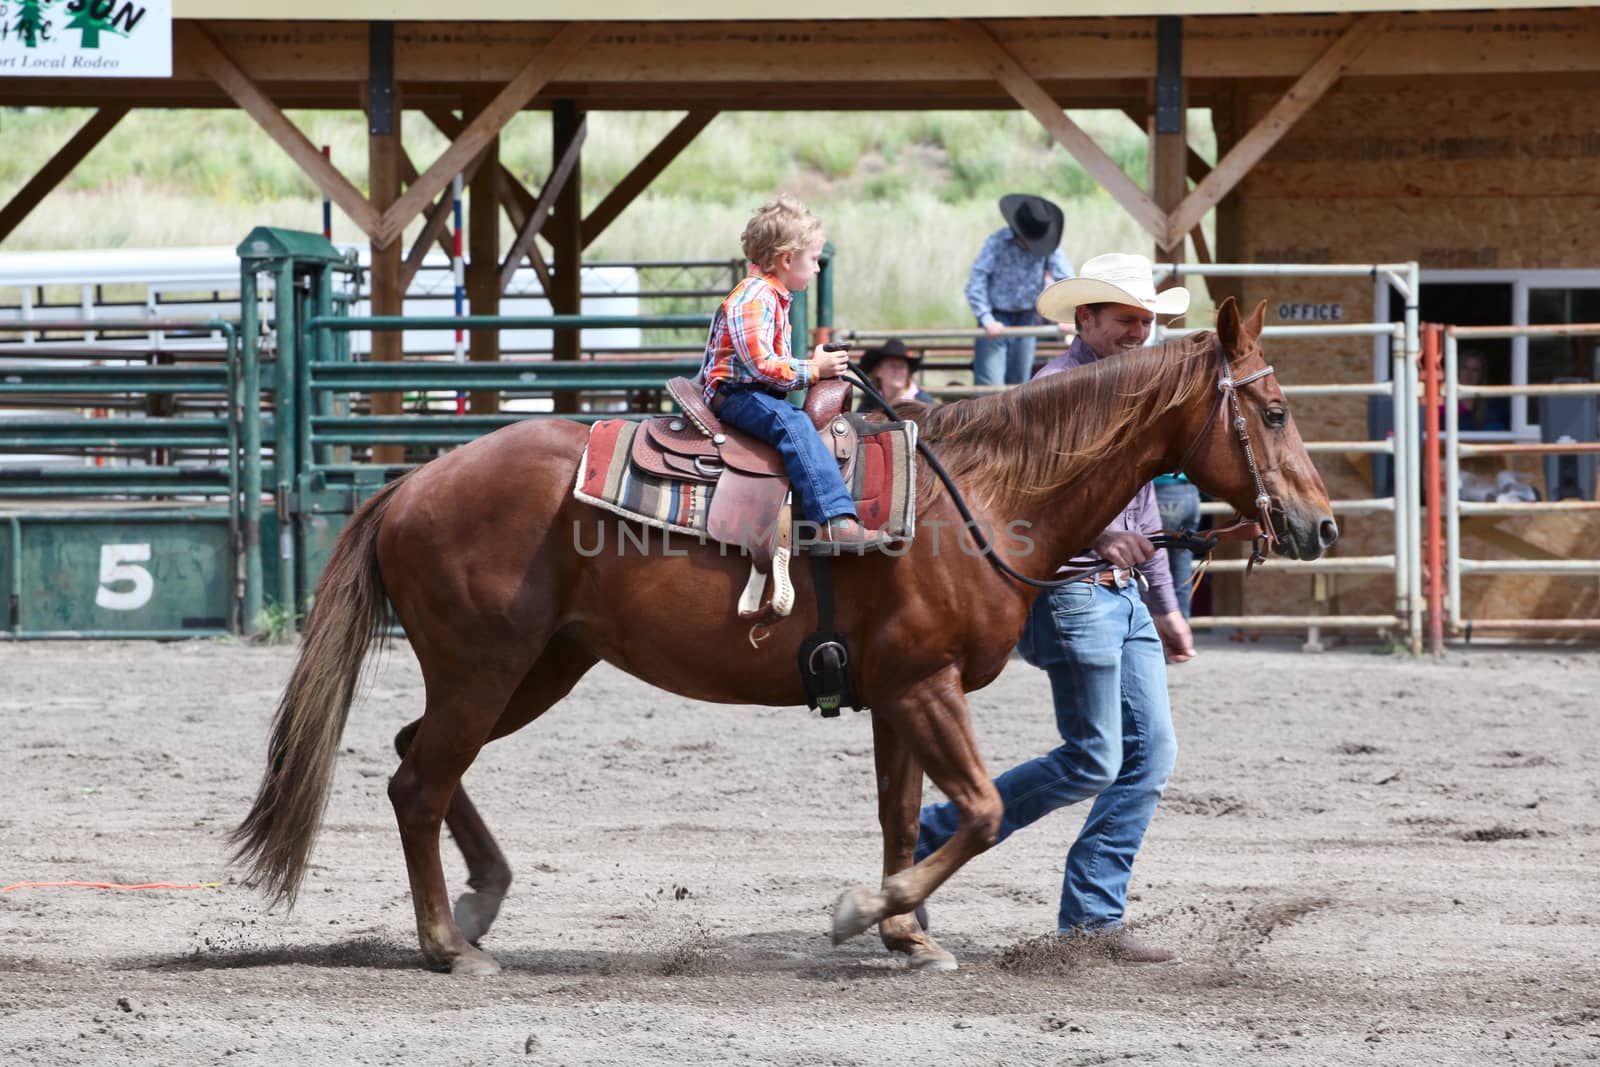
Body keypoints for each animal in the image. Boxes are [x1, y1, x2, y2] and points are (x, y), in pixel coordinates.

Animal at [233, 299, 1337, 979]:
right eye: (1277, 409)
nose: (1322, 525)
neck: (978, 496)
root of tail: (413, 484)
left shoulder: (900, 692)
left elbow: (905, 813)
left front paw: (907, 934)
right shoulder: (927, 684)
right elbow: (980, 810)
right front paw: (863, 912)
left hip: (538, 665)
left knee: (416, 759)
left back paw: (480, 901)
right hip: (487, 664)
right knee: (419, 780)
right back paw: (448, 943)